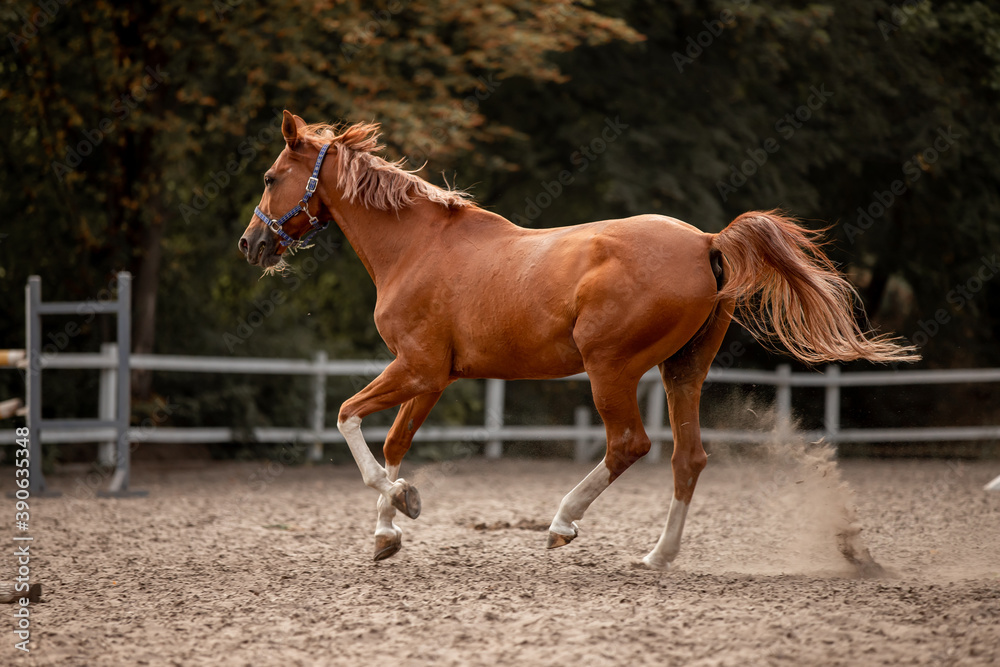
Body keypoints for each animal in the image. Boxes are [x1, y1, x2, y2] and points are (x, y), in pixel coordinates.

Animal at [238, 111, 918, 568]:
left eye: (271, 176)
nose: (251, 243)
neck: (418, 247)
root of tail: (708, 242)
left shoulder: (419, 368)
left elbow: (348, 418)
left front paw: (401, 503)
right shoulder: (432, 377)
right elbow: (394, 443)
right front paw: (387, 532)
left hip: (609, 368)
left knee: (630, 445)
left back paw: (563, 523)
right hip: (682, 372)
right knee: (688, 457)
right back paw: (657, 556)